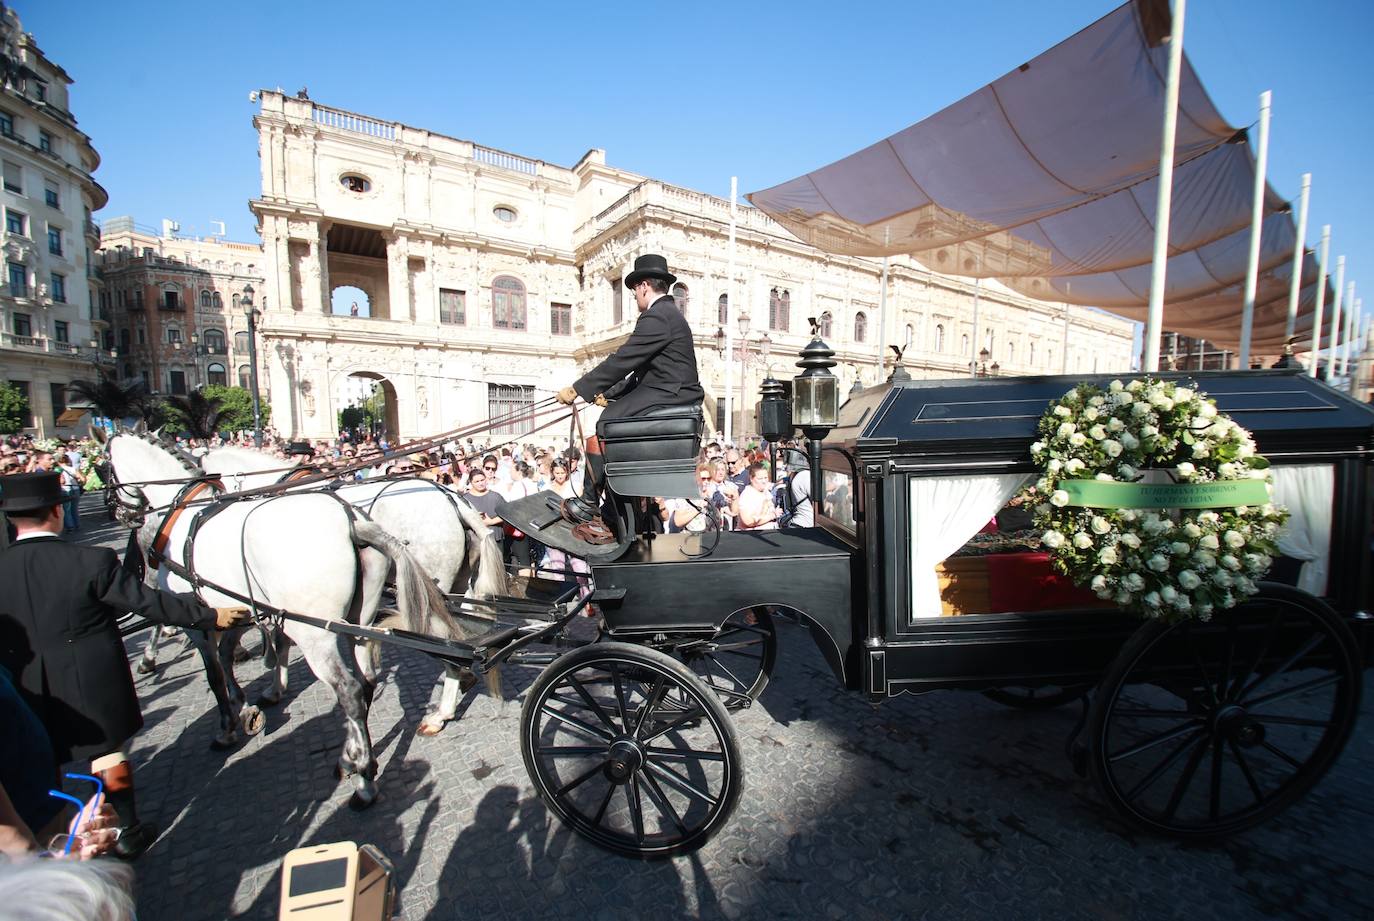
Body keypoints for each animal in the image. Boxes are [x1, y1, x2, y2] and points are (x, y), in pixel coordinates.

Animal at [101, 434, 464, 808]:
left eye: (104, 468)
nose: (119, 513)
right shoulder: (242, 610)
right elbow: (236, 655)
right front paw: (252, 700)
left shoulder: (202, 616)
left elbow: (213, 670)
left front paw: (230, 722)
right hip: (373, 616)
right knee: (372, 679)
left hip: (329, 628)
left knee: (358, 686)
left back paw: (372, 773)